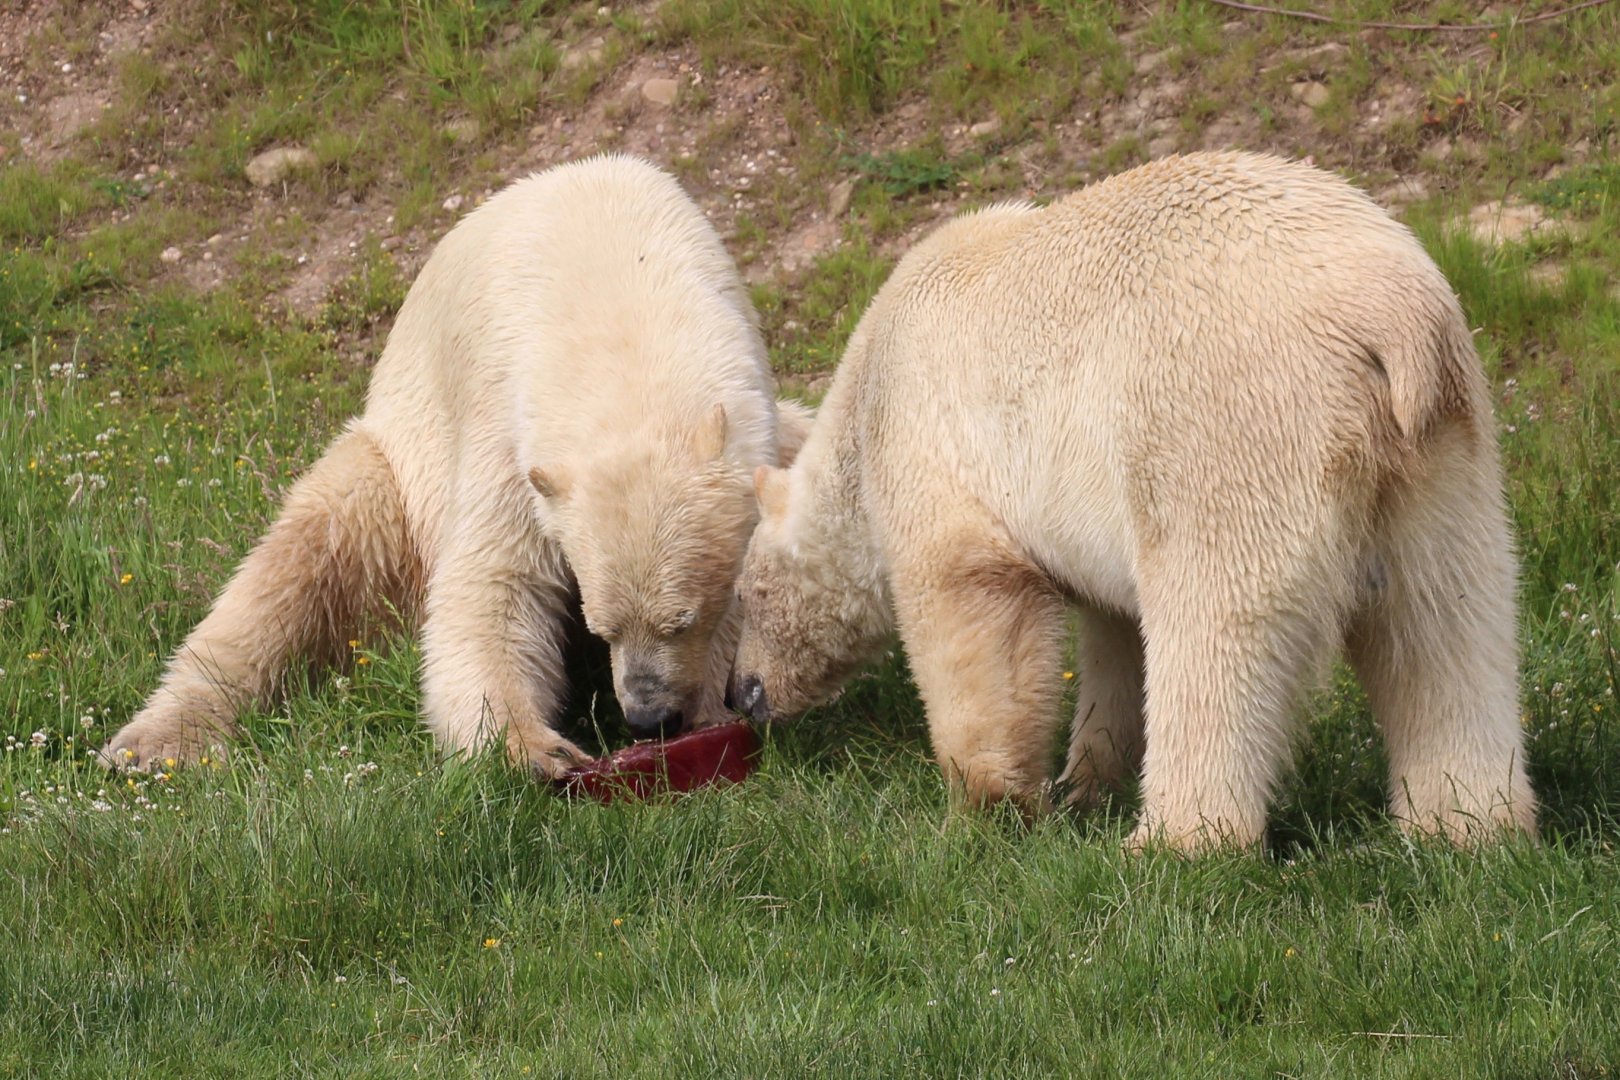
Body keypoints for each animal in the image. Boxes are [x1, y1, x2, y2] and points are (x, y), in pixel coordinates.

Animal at [103, 153, 812, 775]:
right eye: (601, 623)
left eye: (682, 618)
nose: (648, 717)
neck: (620, 308)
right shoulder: (505, 431)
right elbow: (494, 584)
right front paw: (533, 748)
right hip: (395, 482)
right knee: (297, 562)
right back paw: (159, 741)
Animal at [729, 151, 1536, 852]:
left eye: (747, 595)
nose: (743, 693)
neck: (867, 384)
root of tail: (1390, 322)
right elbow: (1115, 635)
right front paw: (1087, 783)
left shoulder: (931, 441)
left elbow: (970, 604)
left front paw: (985, 805)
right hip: (1443, 444)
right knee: (1443, 616)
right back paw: (1466, 824)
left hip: (1227, 421)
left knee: (1218, 619)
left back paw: (1176, 841)